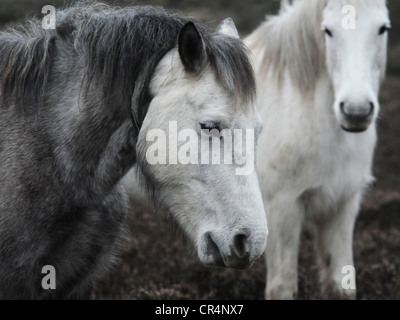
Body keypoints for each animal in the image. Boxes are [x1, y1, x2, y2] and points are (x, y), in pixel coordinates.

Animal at [247, 0, 390, 300]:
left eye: (382, 28)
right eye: (328, 31)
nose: (356, 112)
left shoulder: (343, 205)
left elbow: (340, 285)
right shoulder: (282, 209)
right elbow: (282, 287)